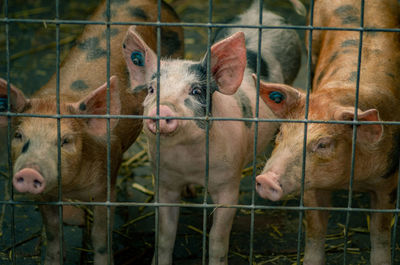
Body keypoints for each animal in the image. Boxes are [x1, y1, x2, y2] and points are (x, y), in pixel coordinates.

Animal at [0, 0, 184, 264]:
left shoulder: (105, 184)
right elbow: (53, 233)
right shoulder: (46, 196)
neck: (71, 186)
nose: (28, 171)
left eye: (66, 140)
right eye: (19, 136)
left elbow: (100, 235)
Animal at [255, 0, 398, 264]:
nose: (265, 179)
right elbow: (315, 228)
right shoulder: (311, 184)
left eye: (323, 144)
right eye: (281, 134)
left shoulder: (388, 179)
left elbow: (381, 230)